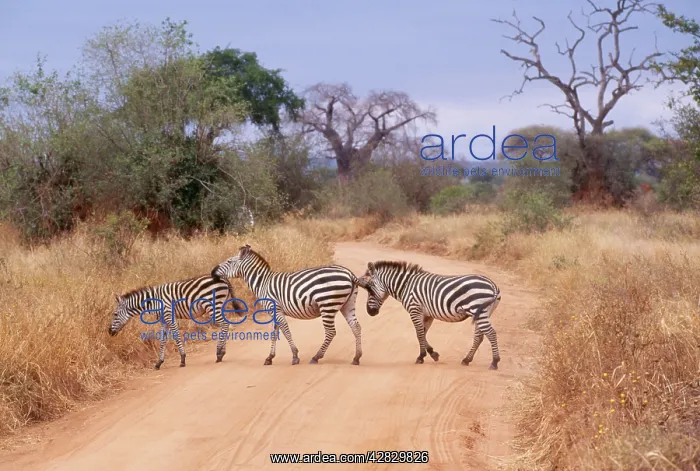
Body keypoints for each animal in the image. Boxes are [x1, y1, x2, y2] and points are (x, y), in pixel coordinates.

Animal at [108, 274, 244, 370]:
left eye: (115, 314)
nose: (109, 332)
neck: (153, 302)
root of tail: (223, 278)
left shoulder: (169, 316)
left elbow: (176, 336)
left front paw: (183, 360)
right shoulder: (164, 320)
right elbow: (162, 340)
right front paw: (159, 363)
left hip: (212, 306)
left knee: (225, 324)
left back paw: (219, 353)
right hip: (220, 305)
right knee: (225, 325)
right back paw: (222, 353)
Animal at [211, 244, 363, 366]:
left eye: (229, 261)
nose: (212, 272)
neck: (262, 283)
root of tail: (349, 274)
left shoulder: (276, 310)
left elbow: (286, 331)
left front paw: (295, 356)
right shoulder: (274, 312)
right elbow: (274, 333)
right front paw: (269, 358)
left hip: (327, 305)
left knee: (331, 332)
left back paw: (316, 357)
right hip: (347, 304)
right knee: (356, 327)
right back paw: (356, 357)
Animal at [357, 261, 502, 370]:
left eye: (369, 290)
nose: (370, 312)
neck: (406, 286)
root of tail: (493, 286)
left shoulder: (415, 309)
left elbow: (419, 333)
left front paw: (421, 357)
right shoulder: (427, 314)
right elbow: (423, 333)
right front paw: (433, 354)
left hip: (478, 310)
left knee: (491, 333)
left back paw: (494, 362)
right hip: (483, 313)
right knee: (479, 336)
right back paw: (467, 359)